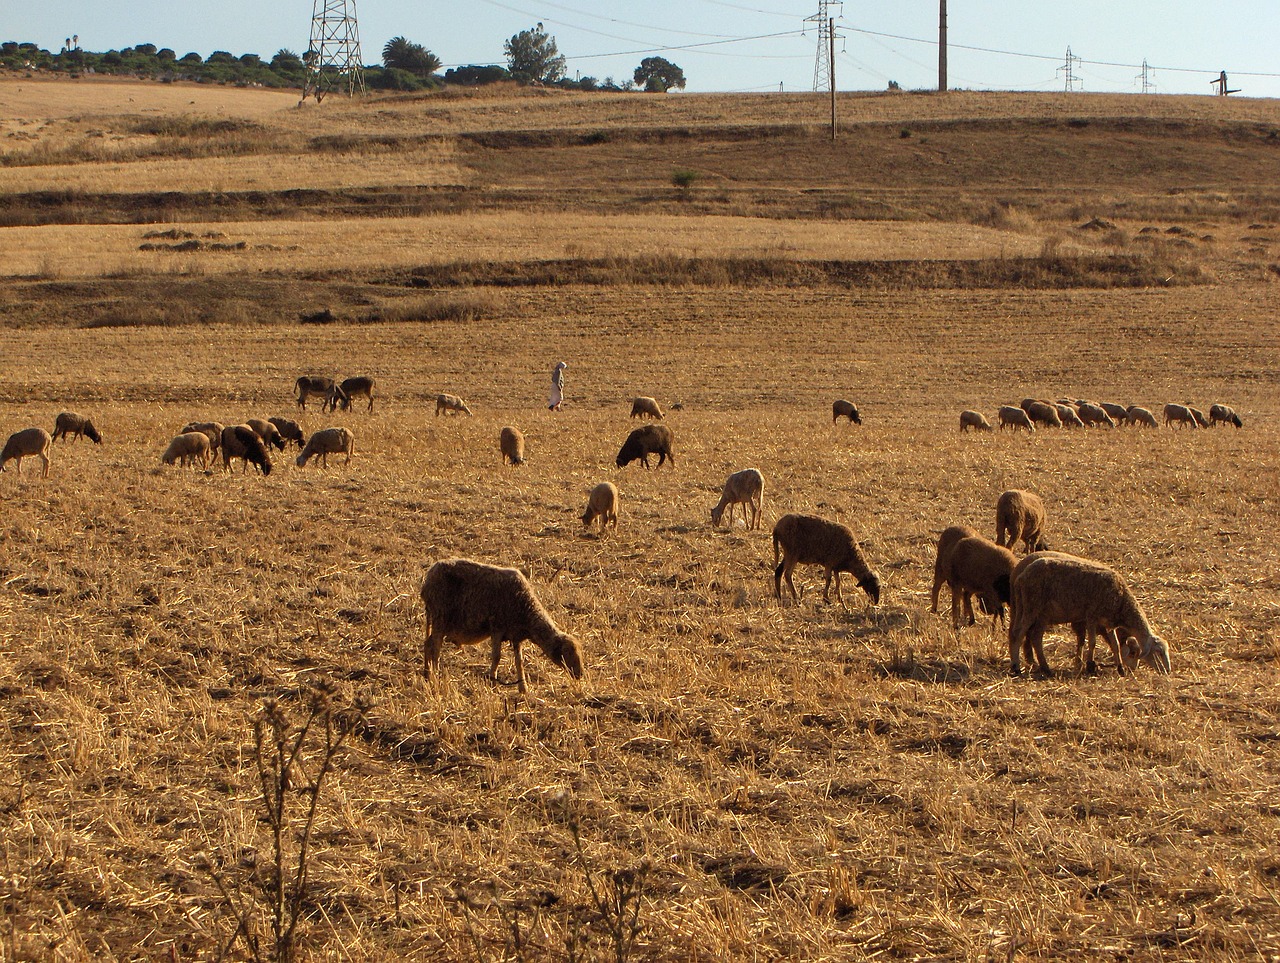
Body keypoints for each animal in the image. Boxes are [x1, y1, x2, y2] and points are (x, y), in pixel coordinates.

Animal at [419, 555, 586, 691]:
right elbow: (497, 657)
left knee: (428, 644)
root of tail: (427, 579)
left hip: (436, 619)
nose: (580, 674)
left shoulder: (516, 635)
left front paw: (523, 688)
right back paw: (435, 678)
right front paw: (492, 683)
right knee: (435, 647)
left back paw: (427, 675)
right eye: (567, 652)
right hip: (440, 617)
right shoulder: (497, 628)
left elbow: (519, 661)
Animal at [1003, 548, 1172, 676]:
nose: (1167, 671)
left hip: (1035, 612)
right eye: (1158, 652)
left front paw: (1120, 668)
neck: (1123, 601)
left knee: (1035, 636)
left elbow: (1116, 644)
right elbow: (1092, 642)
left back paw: (1045, 668)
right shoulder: (1092, 616)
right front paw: (1090, 665)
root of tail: (1020, 576)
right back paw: (1016, 667)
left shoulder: (1108, 623)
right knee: (1018, 633)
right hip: (1031, 607)